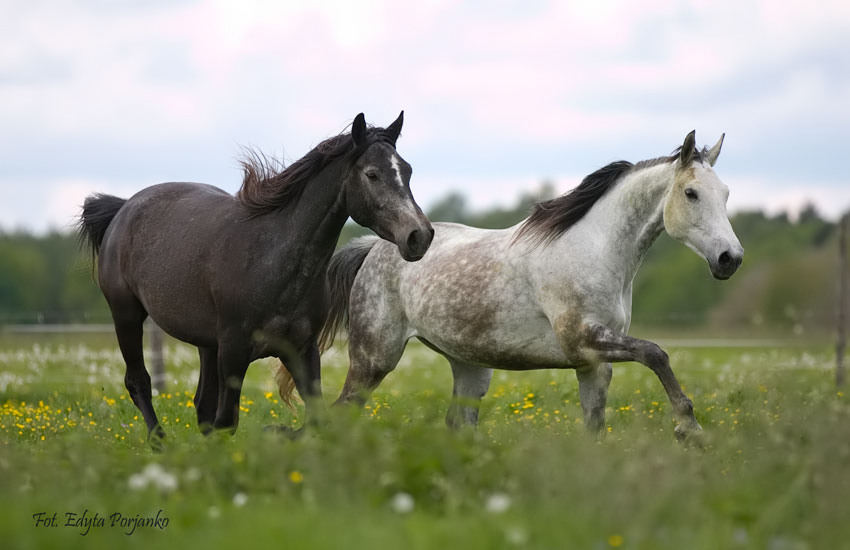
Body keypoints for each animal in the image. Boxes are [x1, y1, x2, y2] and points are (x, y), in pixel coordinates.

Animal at [78, 114, 430, 446]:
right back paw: (158, 443)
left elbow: (315, 417)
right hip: (127, 315)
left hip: (207, 344)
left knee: (202, 404)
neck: (270, 259)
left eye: (408, 171)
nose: (419, 236)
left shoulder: (301, 349)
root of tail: (123, 209)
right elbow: (227, 422)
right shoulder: (234, 350)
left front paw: (278, 433)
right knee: (139, 381)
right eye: (372, 174)